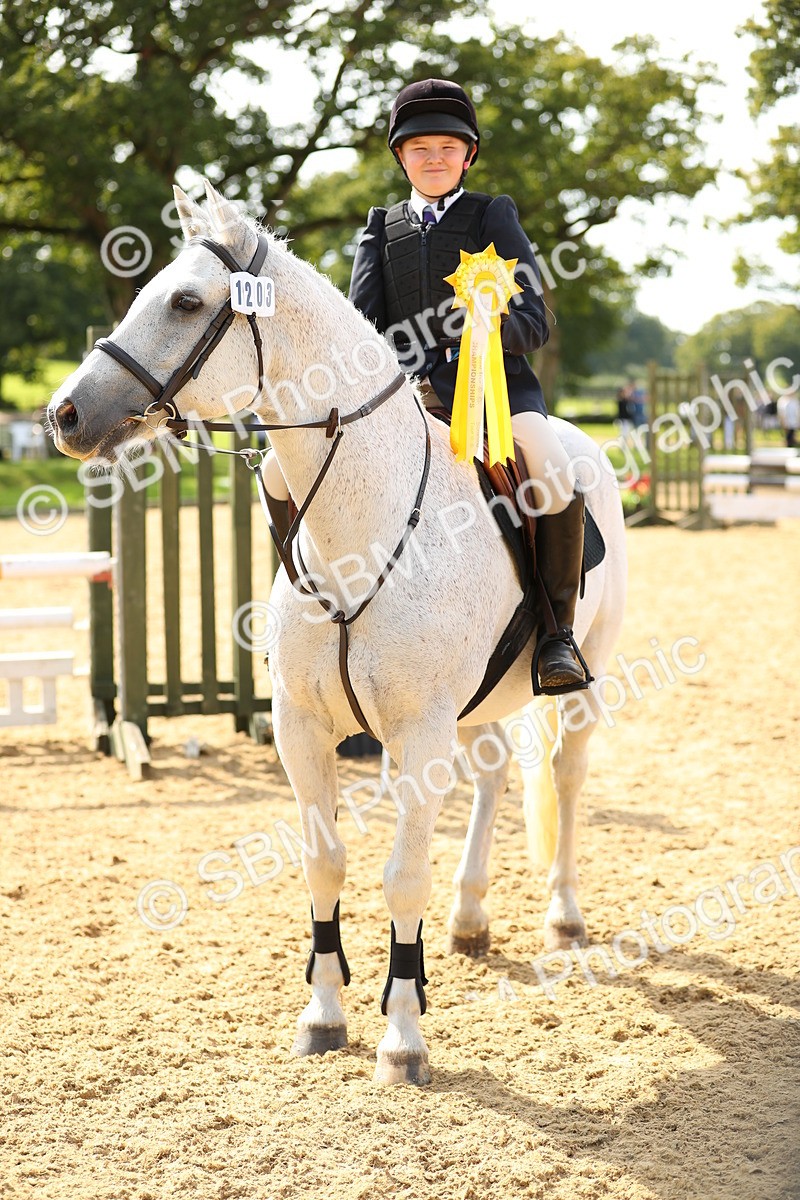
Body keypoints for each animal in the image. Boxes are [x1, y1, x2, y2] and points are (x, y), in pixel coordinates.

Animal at [49, 180, 627, 1085]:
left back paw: (563, 916)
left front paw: (402, 1040)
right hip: (477, 703)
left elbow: (401, 877)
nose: (64, 414)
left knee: (566, 776)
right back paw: (469, 917)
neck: (360, 523)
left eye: (186, 302)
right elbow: (324, 865)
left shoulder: (418, 732)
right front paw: (323, 1016)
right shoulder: (302, 727)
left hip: (580, 670)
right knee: (497, 772)